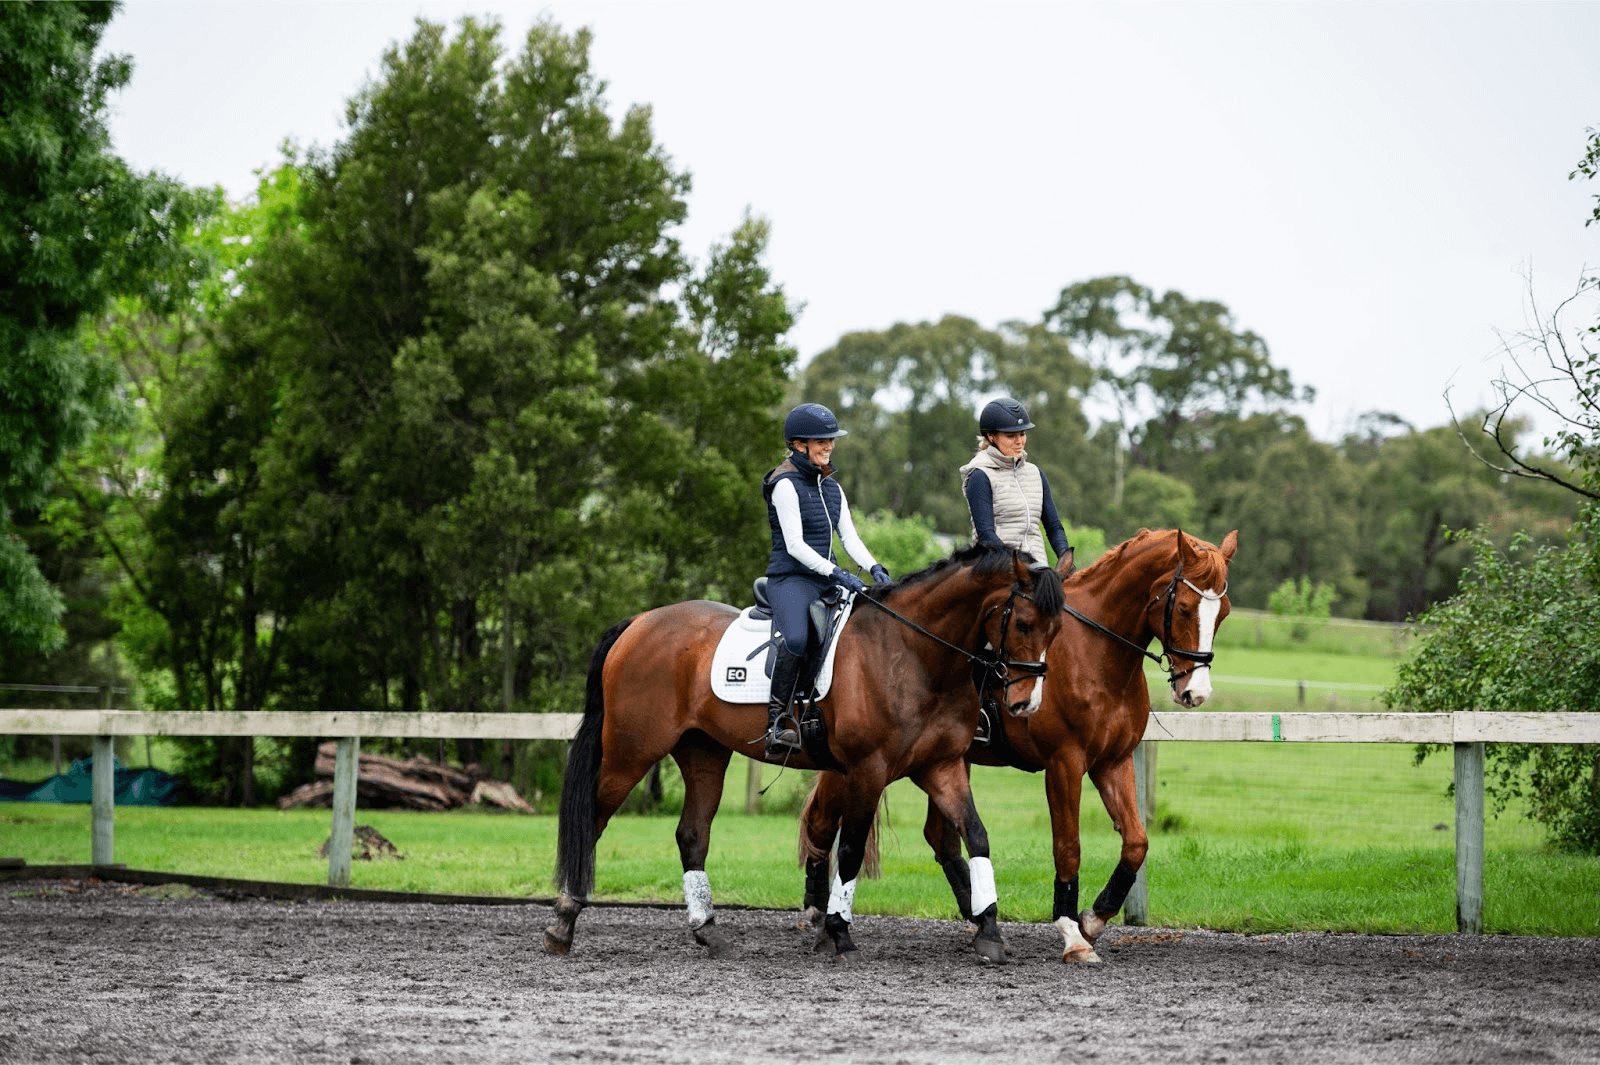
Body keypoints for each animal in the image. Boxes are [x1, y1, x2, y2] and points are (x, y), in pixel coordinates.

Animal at [544, 544, 1066, 964]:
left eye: (1056, 630)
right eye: (1023, 622)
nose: (1025, 704)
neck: (913, 653)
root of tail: (639, 622)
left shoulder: (941, 766)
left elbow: (976, 836)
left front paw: (990, 931)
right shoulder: (868, 769)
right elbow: (850, 849)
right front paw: (839, 932)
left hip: (703, 753)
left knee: (692, 835)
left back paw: (709, 933)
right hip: (630, 752)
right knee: (593, 818)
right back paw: (562, 923)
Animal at [803, 528, 1236, 962]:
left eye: (1224, 613)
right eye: (1184, 609)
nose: (1195, 692)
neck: (1096, 654)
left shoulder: (1113, 762)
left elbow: (1136, 842)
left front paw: (1094, 918)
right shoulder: (1064, 764)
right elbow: (1068, 846)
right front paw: (1072, 933)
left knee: (933, 836)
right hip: (863, 764)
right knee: (831, 823)